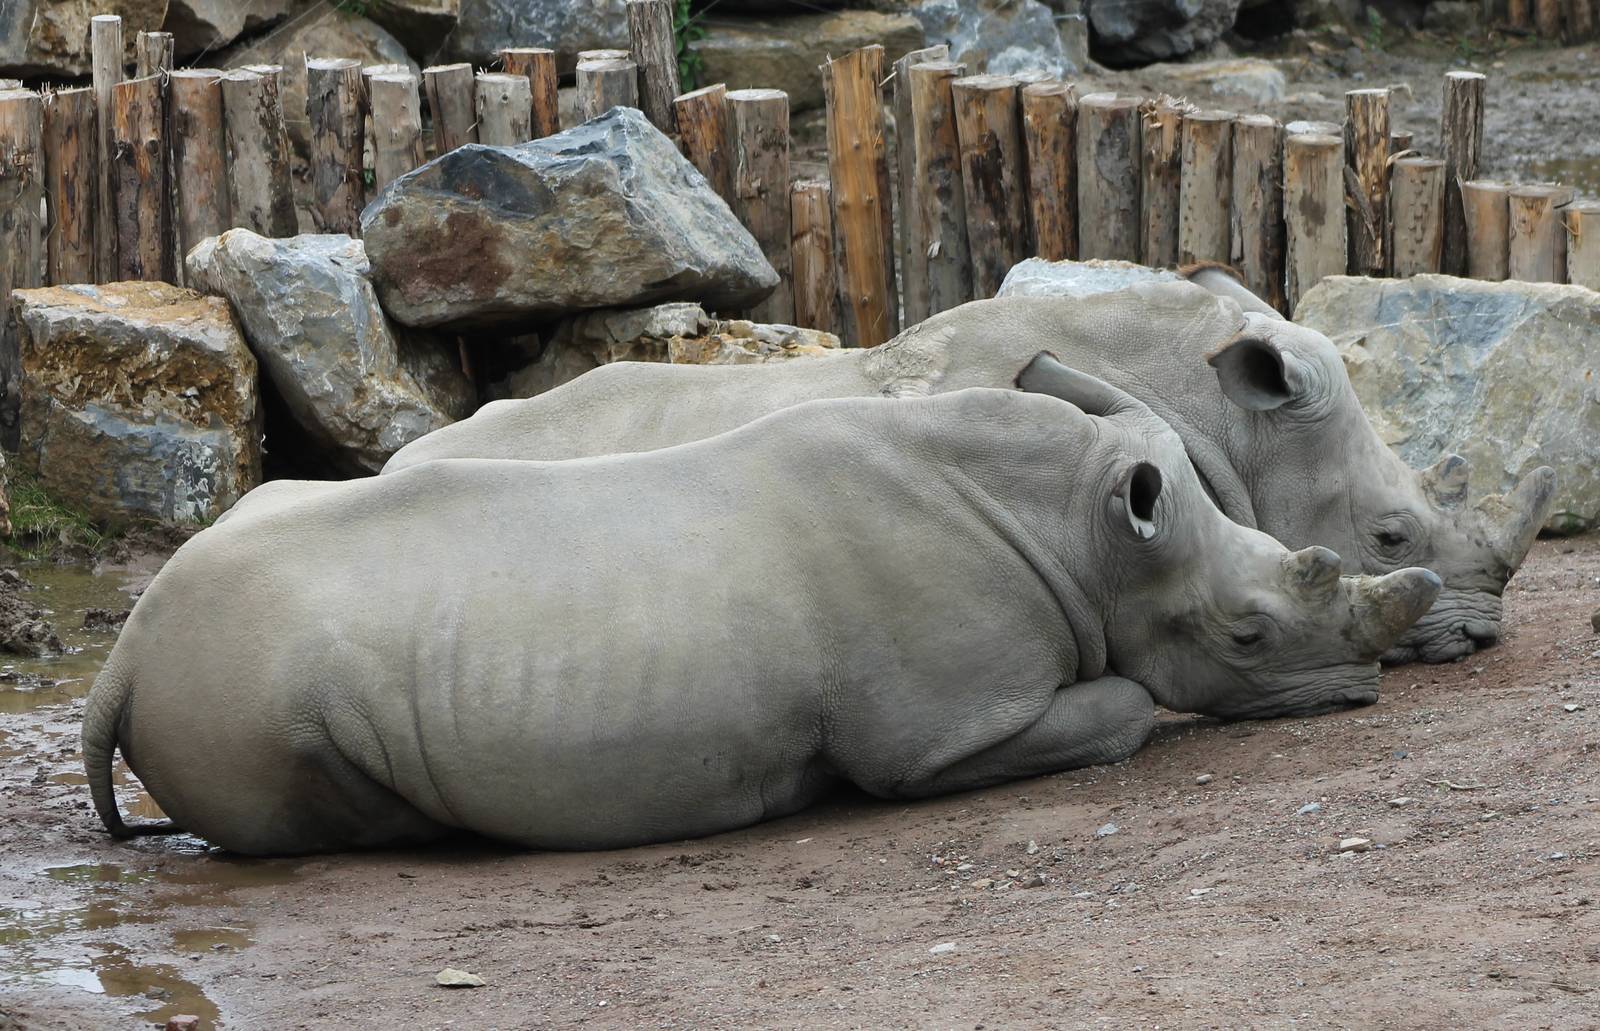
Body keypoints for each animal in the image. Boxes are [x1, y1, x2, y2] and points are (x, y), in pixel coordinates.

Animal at [86, 367, 1440, 855]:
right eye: (1247, 634)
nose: (1366, 685)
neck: (1080, 528)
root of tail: (121, 653)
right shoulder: (936, 733)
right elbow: (1116, 706)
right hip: (249, 689)